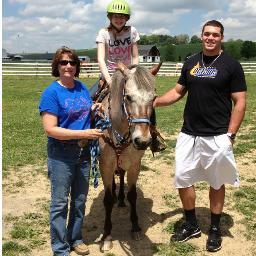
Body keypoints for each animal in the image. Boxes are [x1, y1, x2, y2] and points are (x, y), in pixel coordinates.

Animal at [97, 62, 161, 252]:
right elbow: (107, 199)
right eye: (129, 97)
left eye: (153, 98)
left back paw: (121, 201)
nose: (142, 141)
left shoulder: (134, 165)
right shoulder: (105, 165)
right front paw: (107, 236)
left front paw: (136, 227)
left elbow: (132, 195)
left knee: (121, 177)